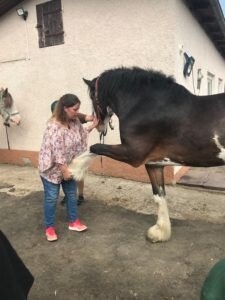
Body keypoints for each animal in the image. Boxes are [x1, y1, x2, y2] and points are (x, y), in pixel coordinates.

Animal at [72, 67, 225, 243]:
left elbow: (95, 147)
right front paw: (160, 232)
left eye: (92, 96)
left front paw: (73, 169)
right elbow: (159, 195)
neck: (145, 104)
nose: (98, 126)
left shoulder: (133, 155)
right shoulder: (154, 163)